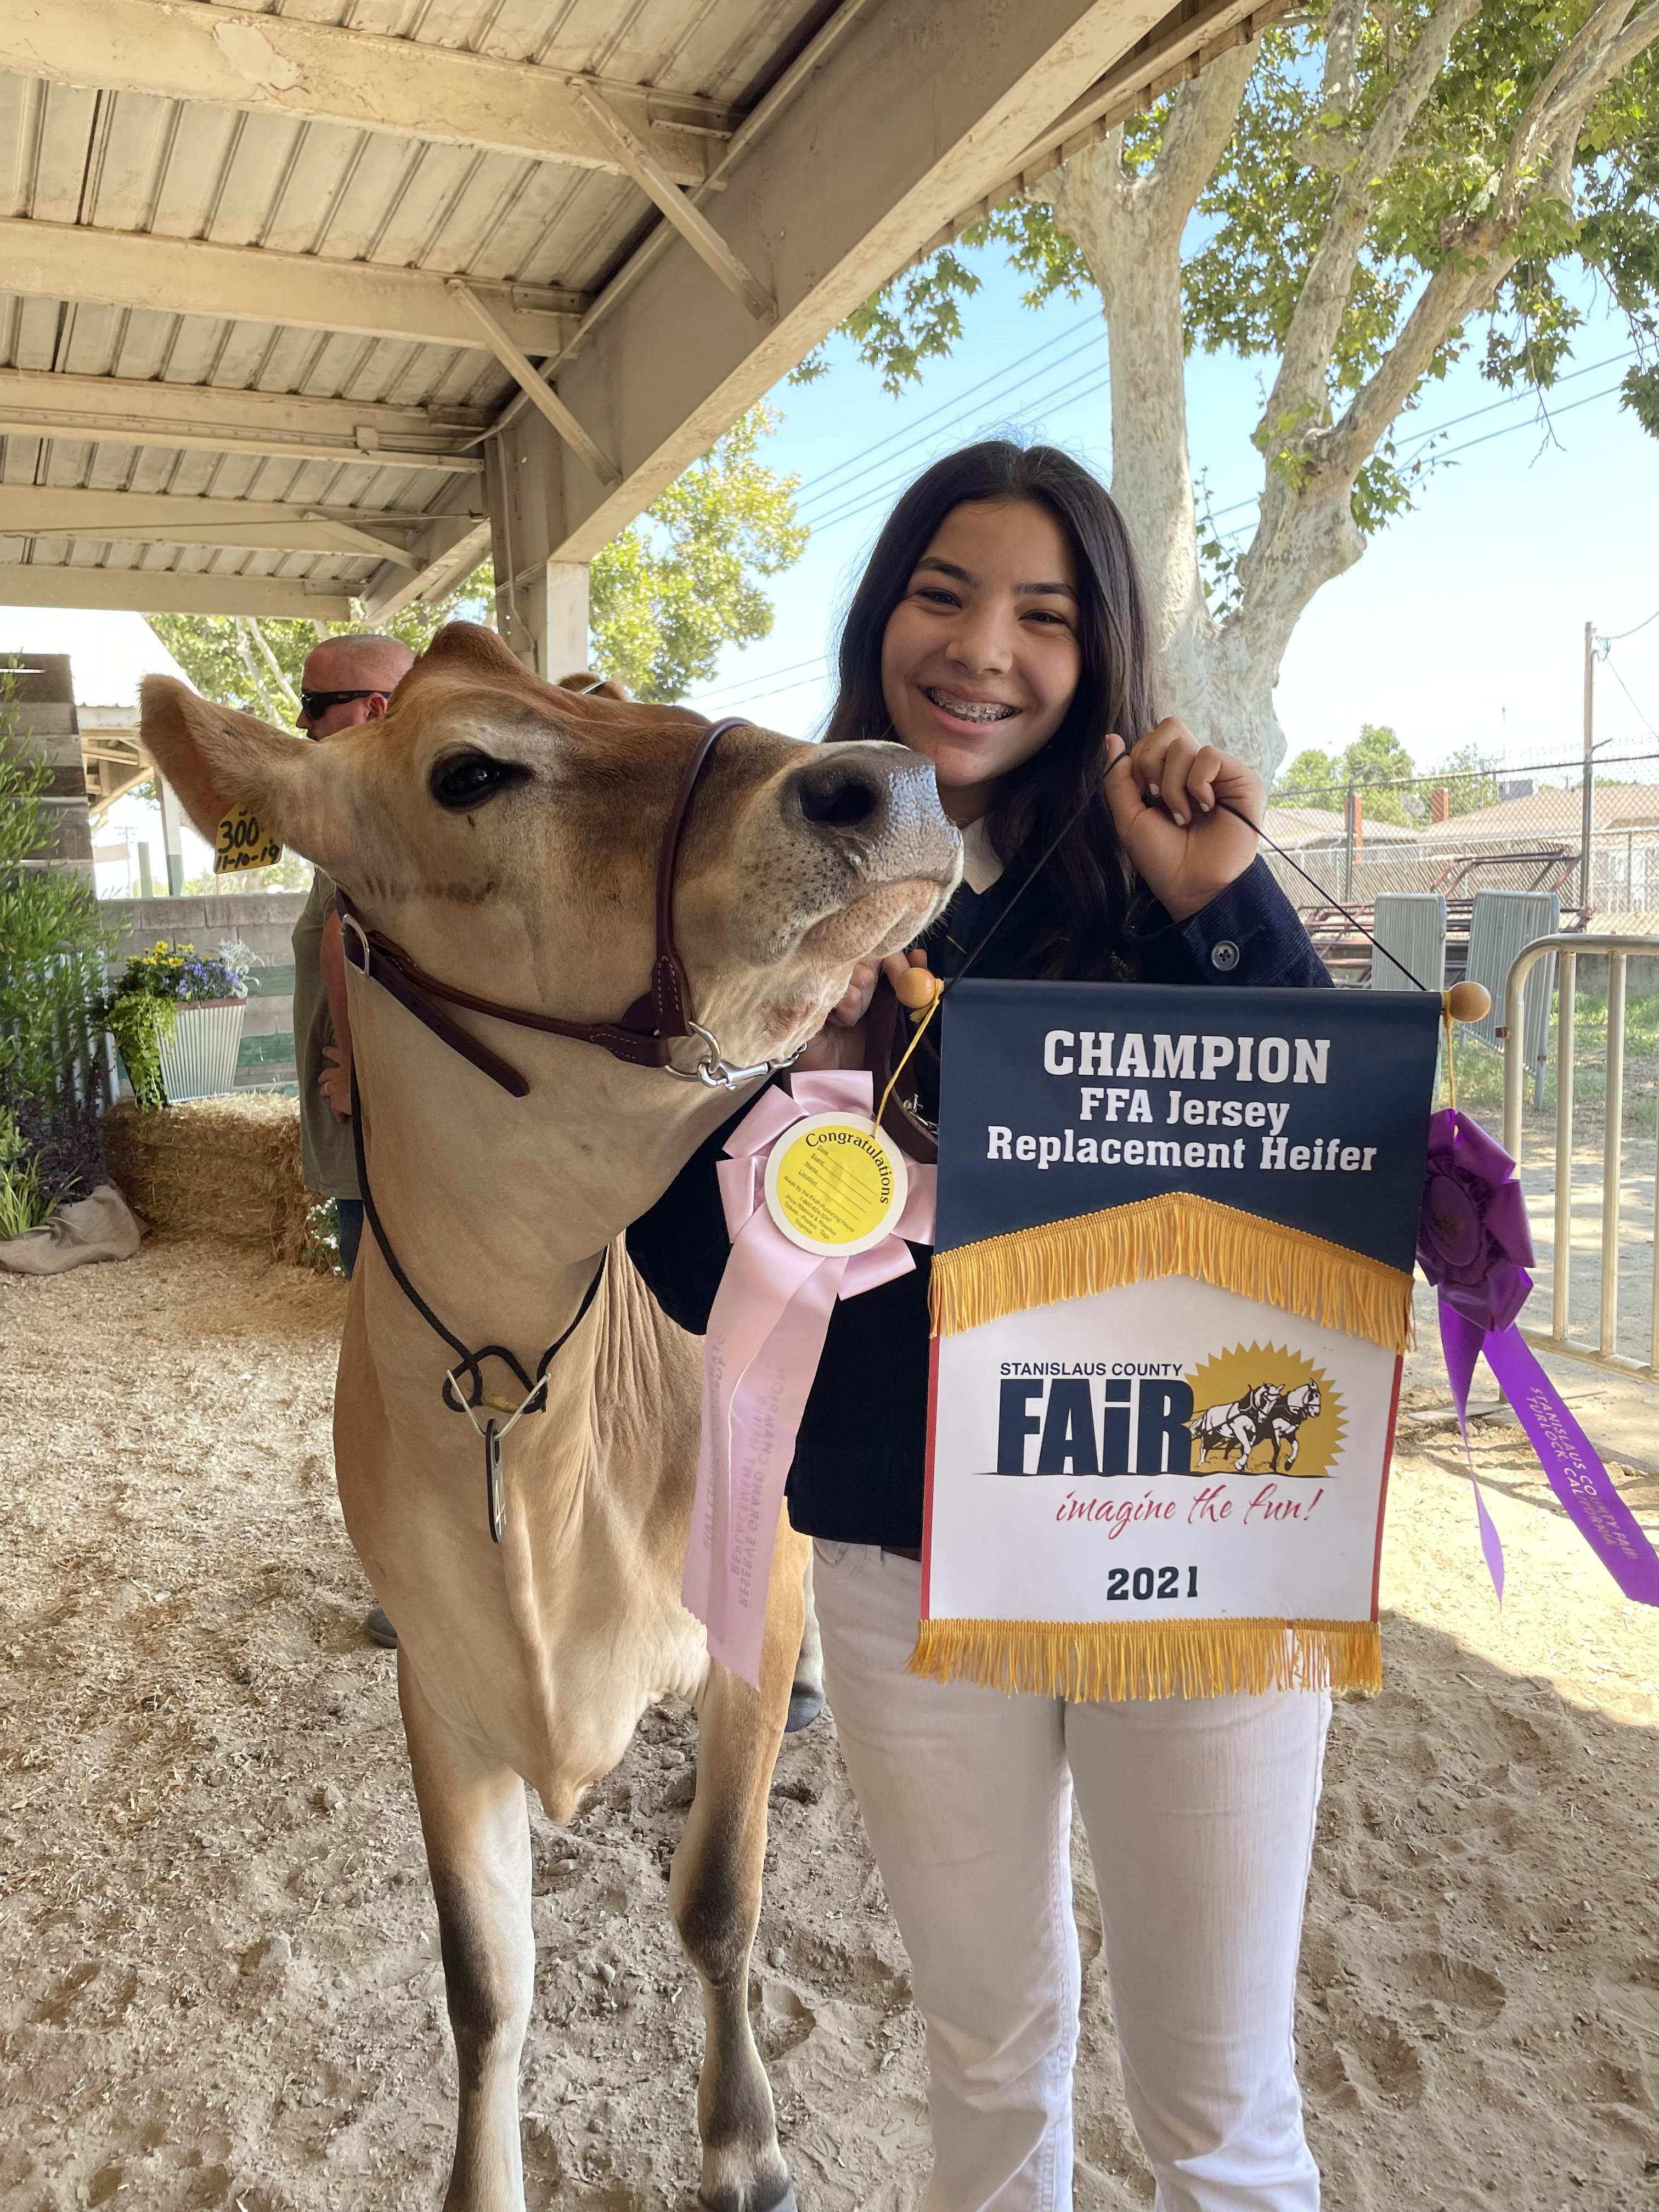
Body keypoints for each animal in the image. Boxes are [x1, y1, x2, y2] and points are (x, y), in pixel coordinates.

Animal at [142, 628, 960, 2212]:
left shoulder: (745, 1604)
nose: (892, 779)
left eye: (634, 700)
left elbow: (717, 1900)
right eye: (468, 771)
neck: (520, 1423)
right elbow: (483, 1979)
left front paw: (744, 2143)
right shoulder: (445, 1689)